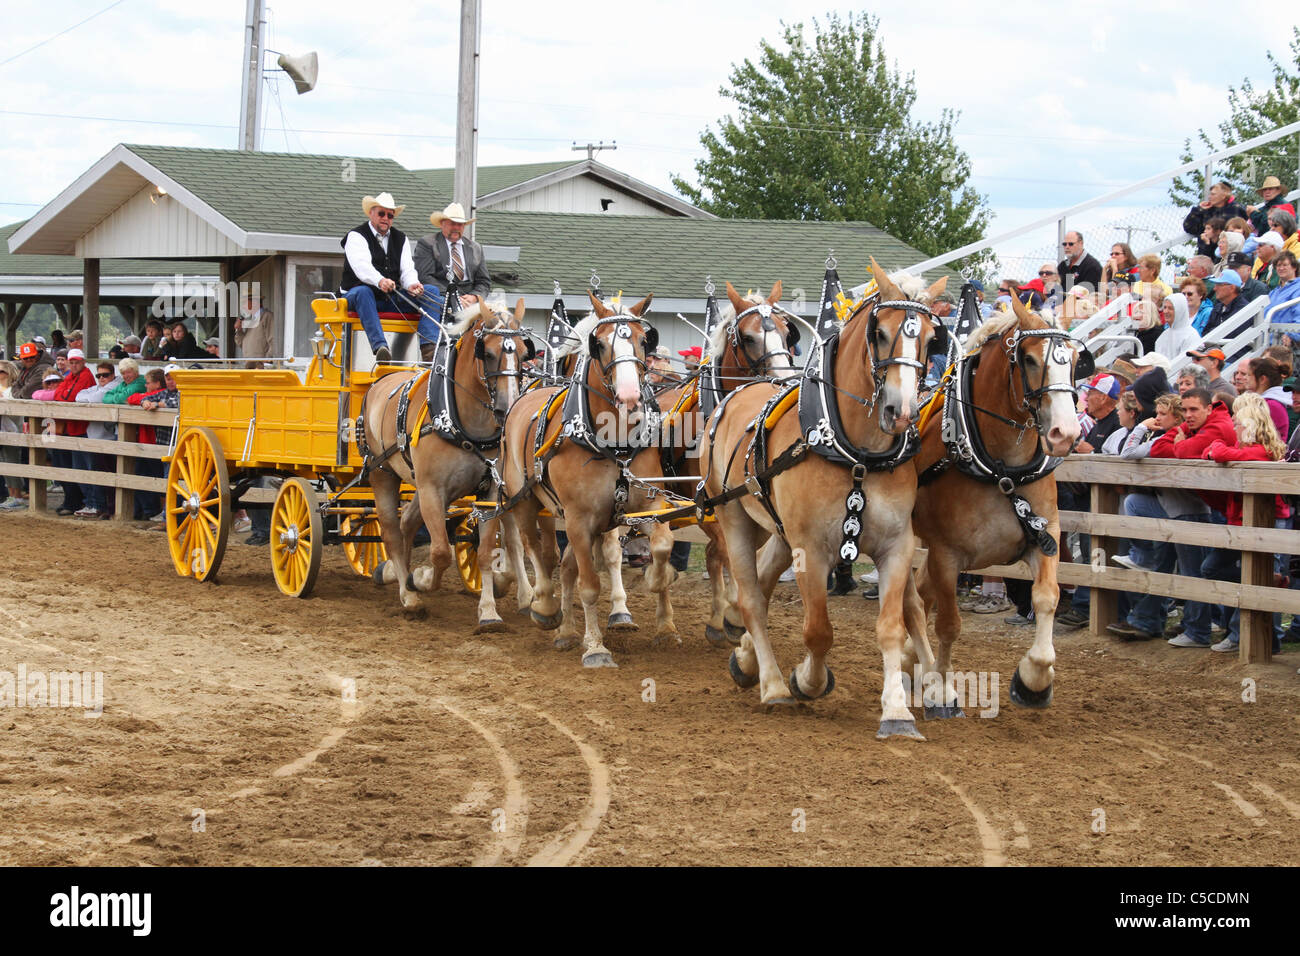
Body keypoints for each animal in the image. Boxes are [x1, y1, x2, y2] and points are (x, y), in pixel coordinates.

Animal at [360, 296, 533, 630]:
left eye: (522, 353)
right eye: (487, 353)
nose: (507, 407)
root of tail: (381, 380)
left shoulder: (490, 491)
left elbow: (485, 552)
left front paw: (489, 611)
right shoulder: (432, 490)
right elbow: (441, 552)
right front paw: (420, 579)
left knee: (408, 522)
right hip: (382, 473)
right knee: (391, 531)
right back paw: (408, 594)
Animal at [499, 292, 676, 667]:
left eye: (644, 340)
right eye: (601, 344)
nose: (630, 396)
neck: (615, 444)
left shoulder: (646, 505)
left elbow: (662, 545)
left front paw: (663, 606)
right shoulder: (579, 520)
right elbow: (590, 586)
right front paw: (595, 647)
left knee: (571, 565)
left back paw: (571, 630)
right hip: (526, 501)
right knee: (536, 549)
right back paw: (546, 608)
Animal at [656, 281, 800, 647]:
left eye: (786, 332)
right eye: (748, 338)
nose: (784, 382)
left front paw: (730, 617)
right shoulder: (706, 502)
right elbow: (723, 554)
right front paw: (725, 616)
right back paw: (664, 622)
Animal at [698, 259, 948, 739]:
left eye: (931, 338)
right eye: (879, 333)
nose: (902, 412)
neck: (858, 455)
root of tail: (735, 396)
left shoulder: (896, 546)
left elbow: (892, 626)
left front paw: (897, 711)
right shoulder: (811, 550)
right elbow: (818, 631)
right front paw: (806, 680)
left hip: (780, 532)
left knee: (762, 583)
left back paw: (746, 661)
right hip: (735, 518)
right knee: (751, 597)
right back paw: (772, 684)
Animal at [901, 294, 1090, 713]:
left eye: (1074, 359)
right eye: (1030, 359)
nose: (1065, 433)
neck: (1002, 472)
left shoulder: (1044, 536)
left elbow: (1047, 598)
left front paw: (1034, 679)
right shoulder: (946, 554)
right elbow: (949, 623)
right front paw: (942, 688)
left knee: (918, 594)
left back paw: (909, 660)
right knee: (915, 600)